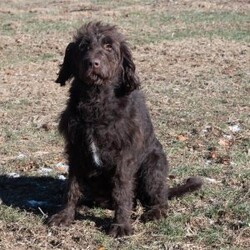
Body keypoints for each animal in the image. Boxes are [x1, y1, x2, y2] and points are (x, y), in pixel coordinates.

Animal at [47, 21, 202, 236]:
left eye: (109, 47)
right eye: (84, 46)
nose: (93, 63)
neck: (96, 101)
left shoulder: (124, 155)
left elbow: (122, 190)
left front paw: (120, 225)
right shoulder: (76, 149)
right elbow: (72, 187)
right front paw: (66, 215)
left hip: (152, 167)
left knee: (158, 198)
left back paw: (155, 211)